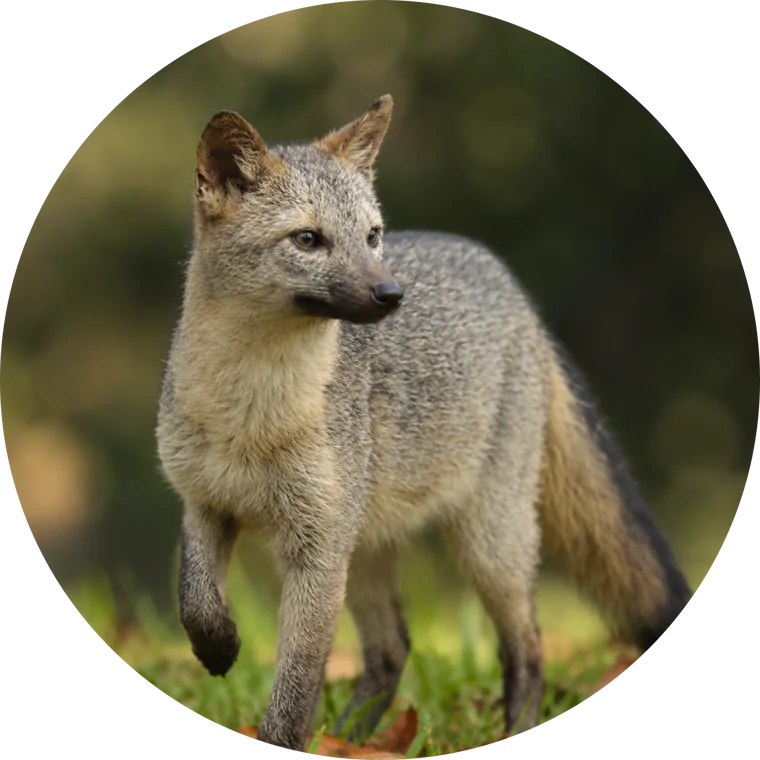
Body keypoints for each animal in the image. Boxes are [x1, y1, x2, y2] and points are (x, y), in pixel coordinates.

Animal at [155, 94, 692, 751]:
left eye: (371, 236)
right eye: (308, 239)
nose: (391, 294)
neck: (248, 418)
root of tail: (515, 290)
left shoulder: (317, 547)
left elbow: (295, 686)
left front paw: (280, 735)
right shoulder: (205, 503)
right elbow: (195, 603)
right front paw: (220, 648)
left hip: (488, 544)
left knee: (528, 648)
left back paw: (499, 731)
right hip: (368, 552)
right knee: (392, 652)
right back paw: (351, 743)